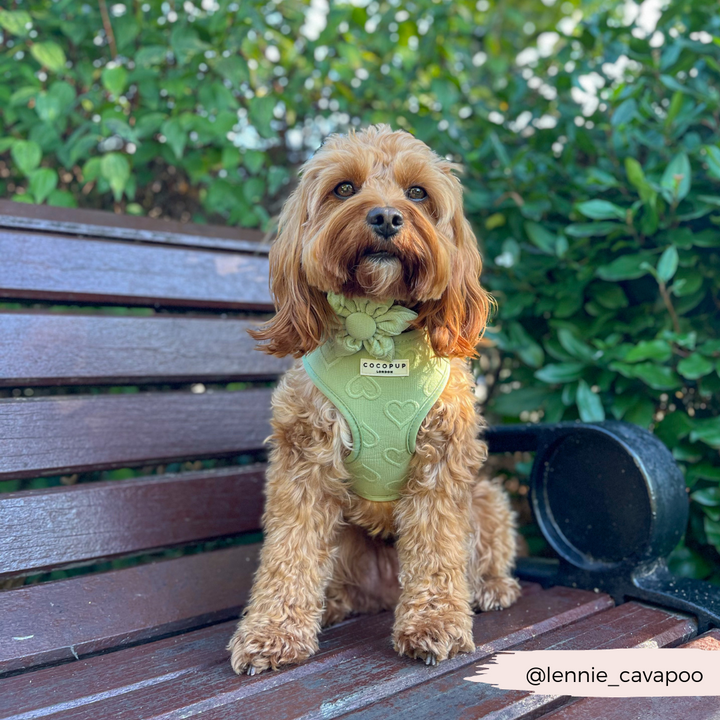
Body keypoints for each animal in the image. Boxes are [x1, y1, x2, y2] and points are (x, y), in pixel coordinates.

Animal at [228, 125, 520, 676]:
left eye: (418, 193)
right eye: (344, 188)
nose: (386, 217)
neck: (377, 329)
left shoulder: (443, 462)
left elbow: (438, 552)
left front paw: (435, 624)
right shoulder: (304, 462)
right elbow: (289, 553)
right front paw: (272, 632)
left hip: (487, 498)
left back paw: (491, 588)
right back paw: (333, 604)